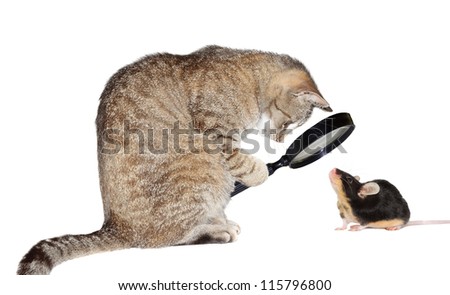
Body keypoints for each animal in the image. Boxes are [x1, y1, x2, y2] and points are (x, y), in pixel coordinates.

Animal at [16, 45, 330, 276]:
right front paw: (260, 172)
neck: (248, 74)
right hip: (203, 167)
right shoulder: (217, 134)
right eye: (290, 122)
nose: (279, 139)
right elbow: (242, 161)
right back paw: (218, 230)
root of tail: (114, 226)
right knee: (165, 239)